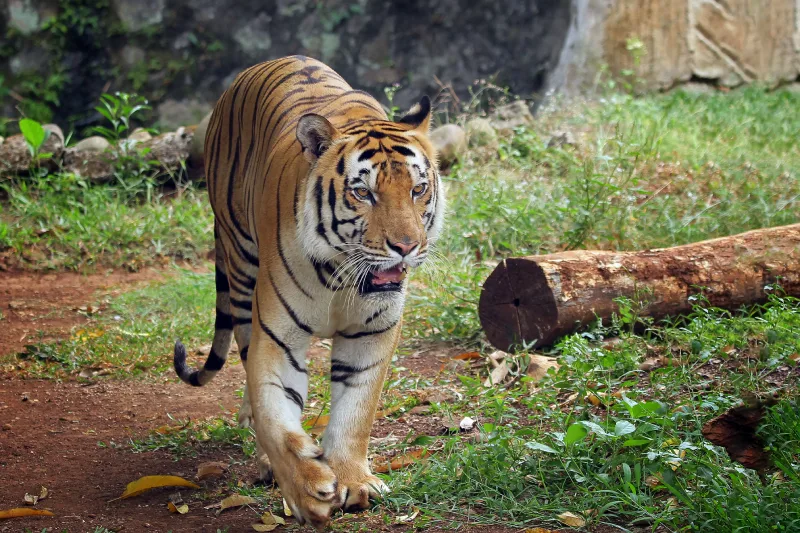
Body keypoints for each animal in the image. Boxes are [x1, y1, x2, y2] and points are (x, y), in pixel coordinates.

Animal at [173, 55, 444, 528]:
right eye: (363, 193)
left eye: (418, 189)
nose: (406, 247)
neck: (342, 275)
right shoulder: (278, 337)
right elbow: (274, 415)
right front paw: (306, 489)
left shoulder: (371, 333)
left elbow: (356, 411)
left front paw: (354, 480)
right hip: (241, 272)